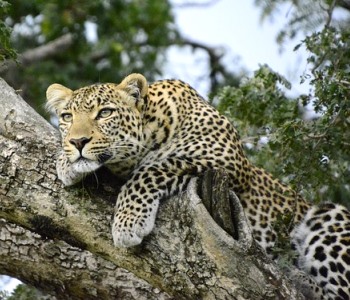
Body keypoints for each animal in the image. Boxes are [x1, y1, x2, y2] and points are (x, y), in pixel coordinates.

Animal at [46, 73, 350, 300]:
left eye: (105, 113)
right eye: (67, 117)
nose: (78, 142)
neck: (154, 124)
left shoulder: (225, 161)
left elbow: (153, 168)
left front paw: (129, 223)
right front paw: (65, 161)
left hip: (330, 216)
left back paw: (297, 277)